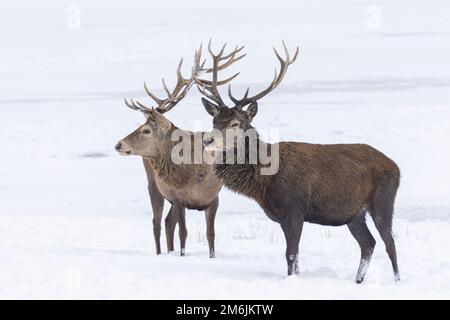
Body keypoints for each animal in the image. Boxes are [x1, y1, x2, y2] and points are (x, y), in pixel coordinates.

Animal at [114, 46, 244, 258]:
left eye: (146, 130)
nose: (118, 144)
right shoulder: (178, 198)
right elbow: (182, 232)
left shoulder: (212, 199)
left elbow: (210, 235)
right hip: (153, 185)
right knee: (157, 223)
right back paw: (160, 254)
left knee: (167, 223)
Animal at [199, 42, 402, 282]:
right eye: (214, 120)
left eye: (235, 123)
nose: (207, 140)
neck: (264, 181)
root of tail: (396, 167)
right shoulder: (283, 217)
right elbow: (293, 257)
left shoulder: (295, 209)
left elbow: (291, 254)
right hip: (354, 214)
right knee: (368, 243)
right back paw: (358, 281)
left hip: (383, 200)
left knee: (390, 243)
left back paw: (397, 281)